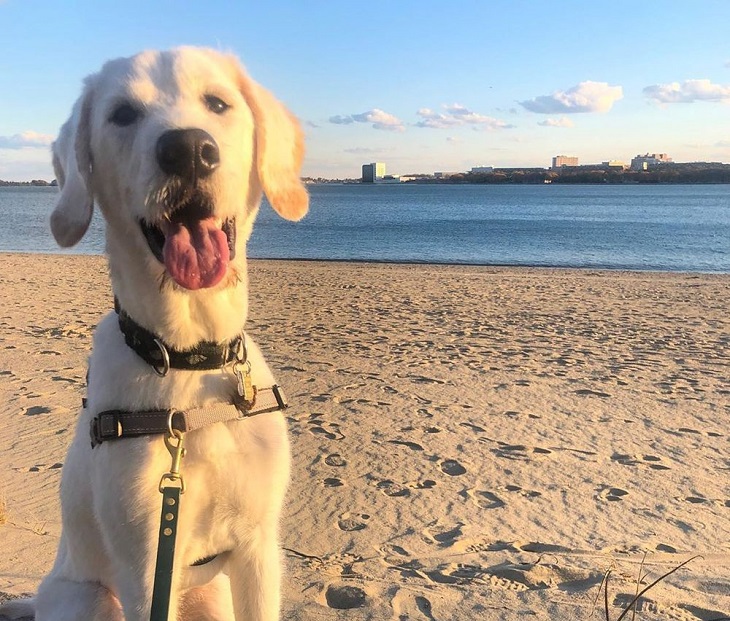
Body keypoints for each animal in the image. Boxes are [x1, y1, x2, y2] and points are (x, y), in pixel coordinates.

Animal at [0, 47, 308, 620]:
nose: (188, 150)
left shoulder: (258, 550)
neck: (189, 359)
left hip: (213, 596)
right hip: (90, 598)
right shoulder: (144, 566)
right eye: (122, 114)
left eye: (218, 103)